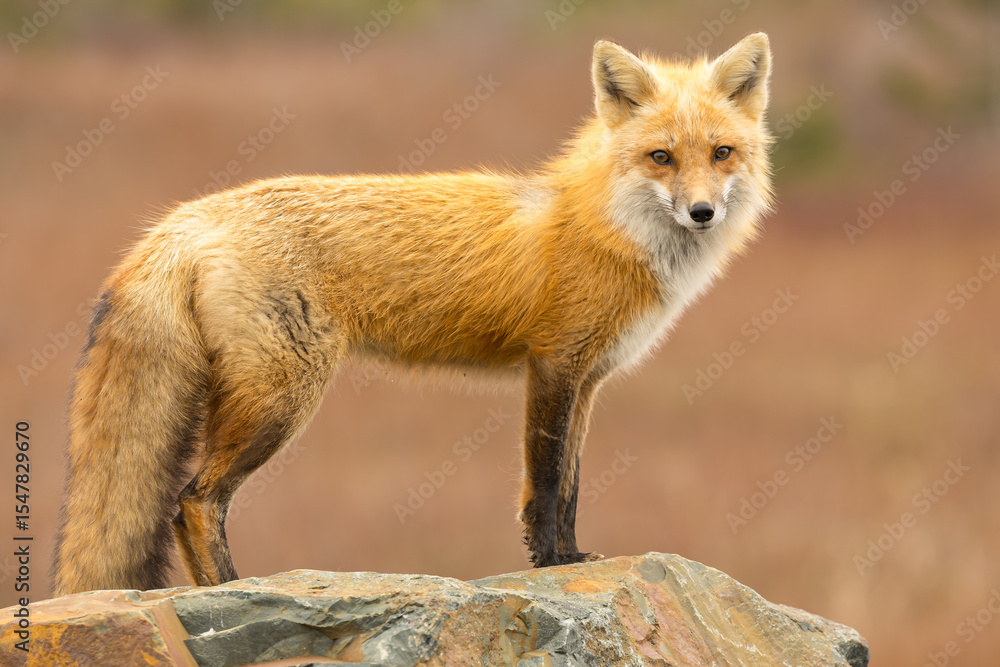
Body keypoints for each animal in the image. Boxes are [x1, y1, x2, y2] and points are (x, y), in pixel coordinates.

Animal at [52, 33, 774, 596]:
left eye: (721, 153)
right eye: (661, 157)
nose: (702, 212)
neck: (607, 224)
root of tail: (182, 220)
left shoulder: (588, 380)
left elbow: (570, 484)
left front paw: (570, 557)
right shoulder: (553, 366)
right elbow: (544, 483)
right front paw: (551, 563)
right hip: (280, 398)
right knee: (193, 502)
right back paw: (234, 591)